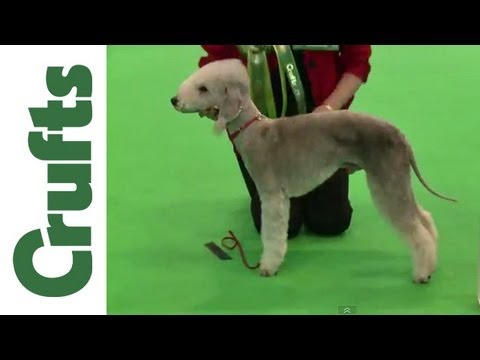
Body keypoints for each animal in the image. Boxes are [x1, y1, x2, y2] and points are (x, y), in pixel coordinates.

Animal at [171, 58, 456, 284]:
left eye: (203, 88)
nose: (174, 100)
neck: (254, 130)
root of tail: (400, 135)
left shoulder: (271, 194)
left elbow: (272, 233)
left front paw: (268, 266)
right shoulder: (281, 197)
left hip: (387, 178)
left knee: (416, 229)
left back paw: (422, 273)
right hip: (396, 179)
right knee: (424, 218)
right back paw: (432, 263)